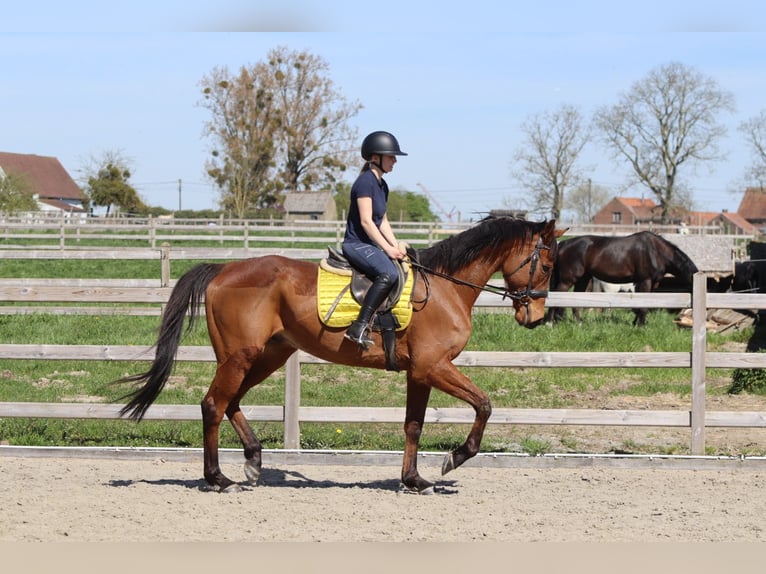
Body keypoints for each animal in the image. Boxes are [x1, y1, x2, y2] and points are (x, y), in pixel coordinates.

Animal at [116, 216, 561, 494]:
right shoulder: (434, 367)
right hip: (241, 357)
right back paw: (218, 478)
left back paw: (254, 460)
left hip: (266, 356)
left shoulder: (419, 373)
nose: (535, 317)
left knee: (232, 402)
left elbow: (413, 426)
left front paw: (414, 480)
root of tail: (224, 269)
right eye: (546, 264)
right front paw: (454, 459)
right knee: (213, 404)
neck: (444, 288)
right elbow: (484, 405)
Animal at [546, 231, 698, 326]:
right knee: (556, 296)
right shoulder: (645, 281)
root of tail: (563, 244)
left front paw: (636, 323)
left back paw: (578, 323)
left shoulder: (650, 284)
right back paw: (550, 323)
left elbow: (642, 305)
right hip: (568, 280)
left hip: (583, 279)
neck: (656, 251)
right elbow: (643, 306)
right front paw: (641, 326)